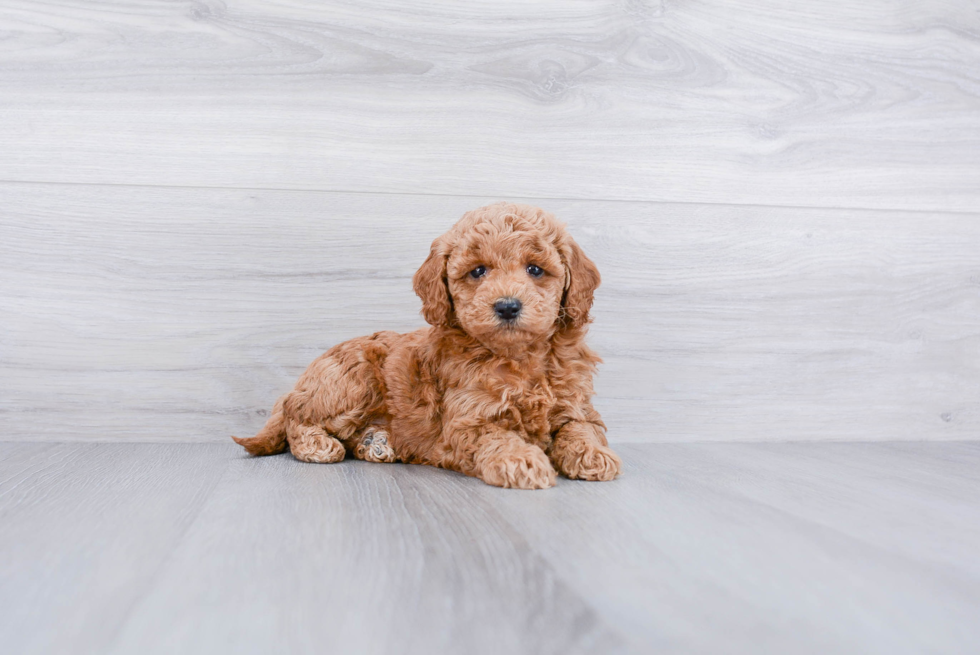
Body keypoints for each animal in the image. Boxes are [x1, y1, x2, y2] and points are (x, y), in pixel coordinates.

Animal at [232, 202, 620, 490]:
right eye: (478, 271)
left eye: (535, 269)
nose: (508, 306)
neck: (518, 357)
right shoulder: (466, 423)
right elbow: (497, 436)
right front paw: (521, 460)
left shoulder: (577, 405)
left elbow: (581, 428)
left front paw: (592, 455)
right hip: (353, 379)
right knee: (297, 414)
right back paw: (319, 444)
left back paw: (376, 443)